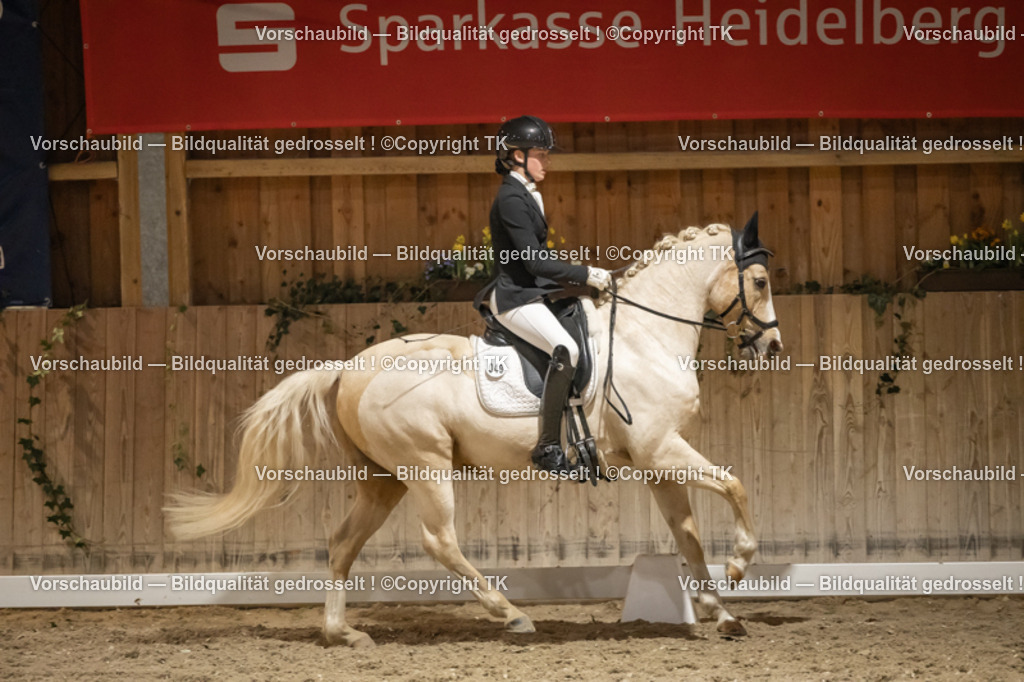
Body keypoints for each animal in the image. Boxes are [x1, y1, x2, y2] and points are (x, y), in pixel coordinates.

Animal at [165, 213, 783, 645]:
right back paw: (509, 614)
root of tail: (349, 369)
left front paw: (721, 613)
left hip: (382, 479)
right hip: (426, 466)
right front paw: (738, 565)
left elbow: (688, 533)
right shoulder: (661, 449)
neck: (642, 336)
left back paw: (344, 633)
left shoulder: (656, 462)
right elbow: (734, 485)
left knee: (342, 543)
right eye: (758, 280)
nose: (773, 346)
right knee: (439, 540)